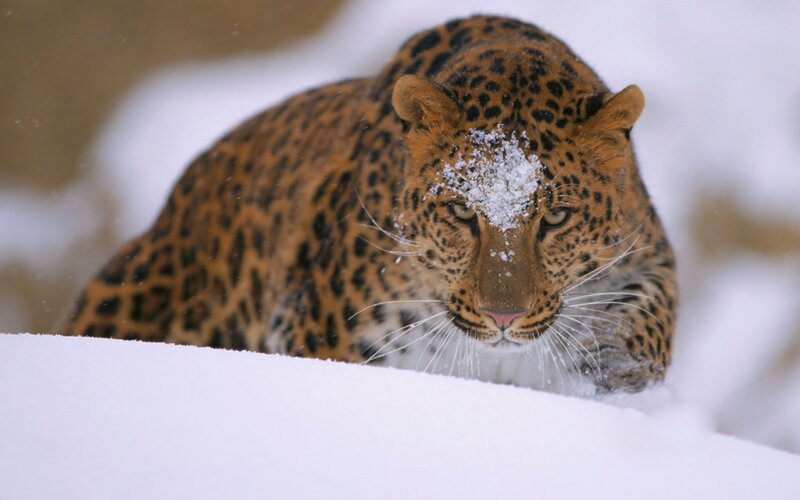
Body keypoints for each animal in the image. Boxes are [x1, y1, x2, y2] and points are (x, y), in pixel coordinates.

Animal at [64, 15, 677, 394]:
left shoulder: (646, 248)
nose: (504, 317)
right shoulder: (323, 336)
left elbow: (651, 313)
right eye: (462, 214)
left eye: (555, 218)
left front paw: (615, 365)